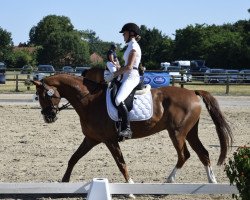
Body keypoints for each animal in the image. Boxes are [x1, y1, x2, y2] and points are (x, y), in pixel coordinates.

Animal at [32, 68, 233, 184]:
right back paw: (211, 182)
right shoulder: (91, 139)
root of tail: (192, 92)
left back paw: (169, 181)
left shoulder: (110, 140)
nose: (48, 117)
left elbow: (121, 163)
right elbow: (73, 159)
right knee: (203, 154)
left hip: (177, 133)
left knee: (184, 155)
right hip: (190, 132)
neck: (89, 100)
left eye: (45, 95)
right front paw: (64, 182)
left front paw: (130, 187)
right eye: (38, 96)